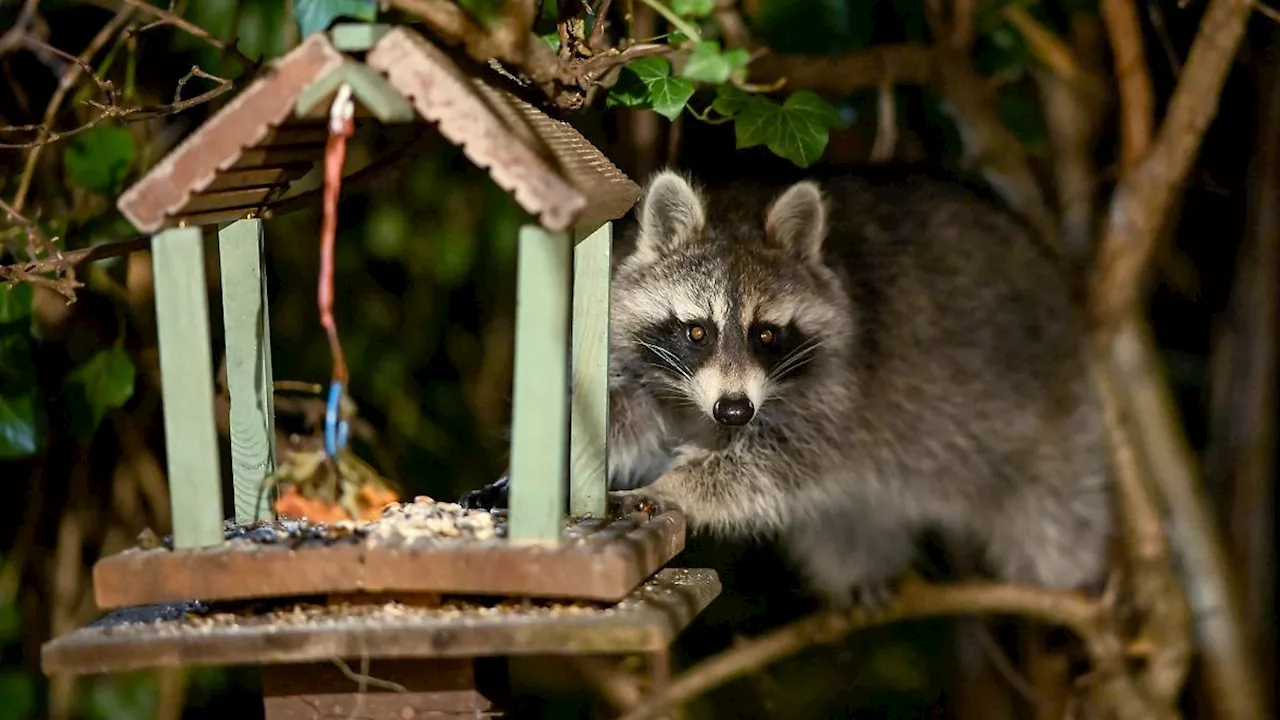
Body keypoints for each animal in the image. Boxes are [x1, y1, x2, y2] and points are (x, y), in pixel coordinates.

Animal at [468, 165, 1111, 602]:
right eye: (697, 330)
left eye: (767, 335)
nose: (733, 412)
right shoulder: (644, 367)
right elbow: (616, 417)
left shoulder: (842, 390)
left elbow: (774, 463)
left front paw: (676, 486)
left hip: (1057, 411)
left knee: (1062, 507)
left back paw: (1066, 573)